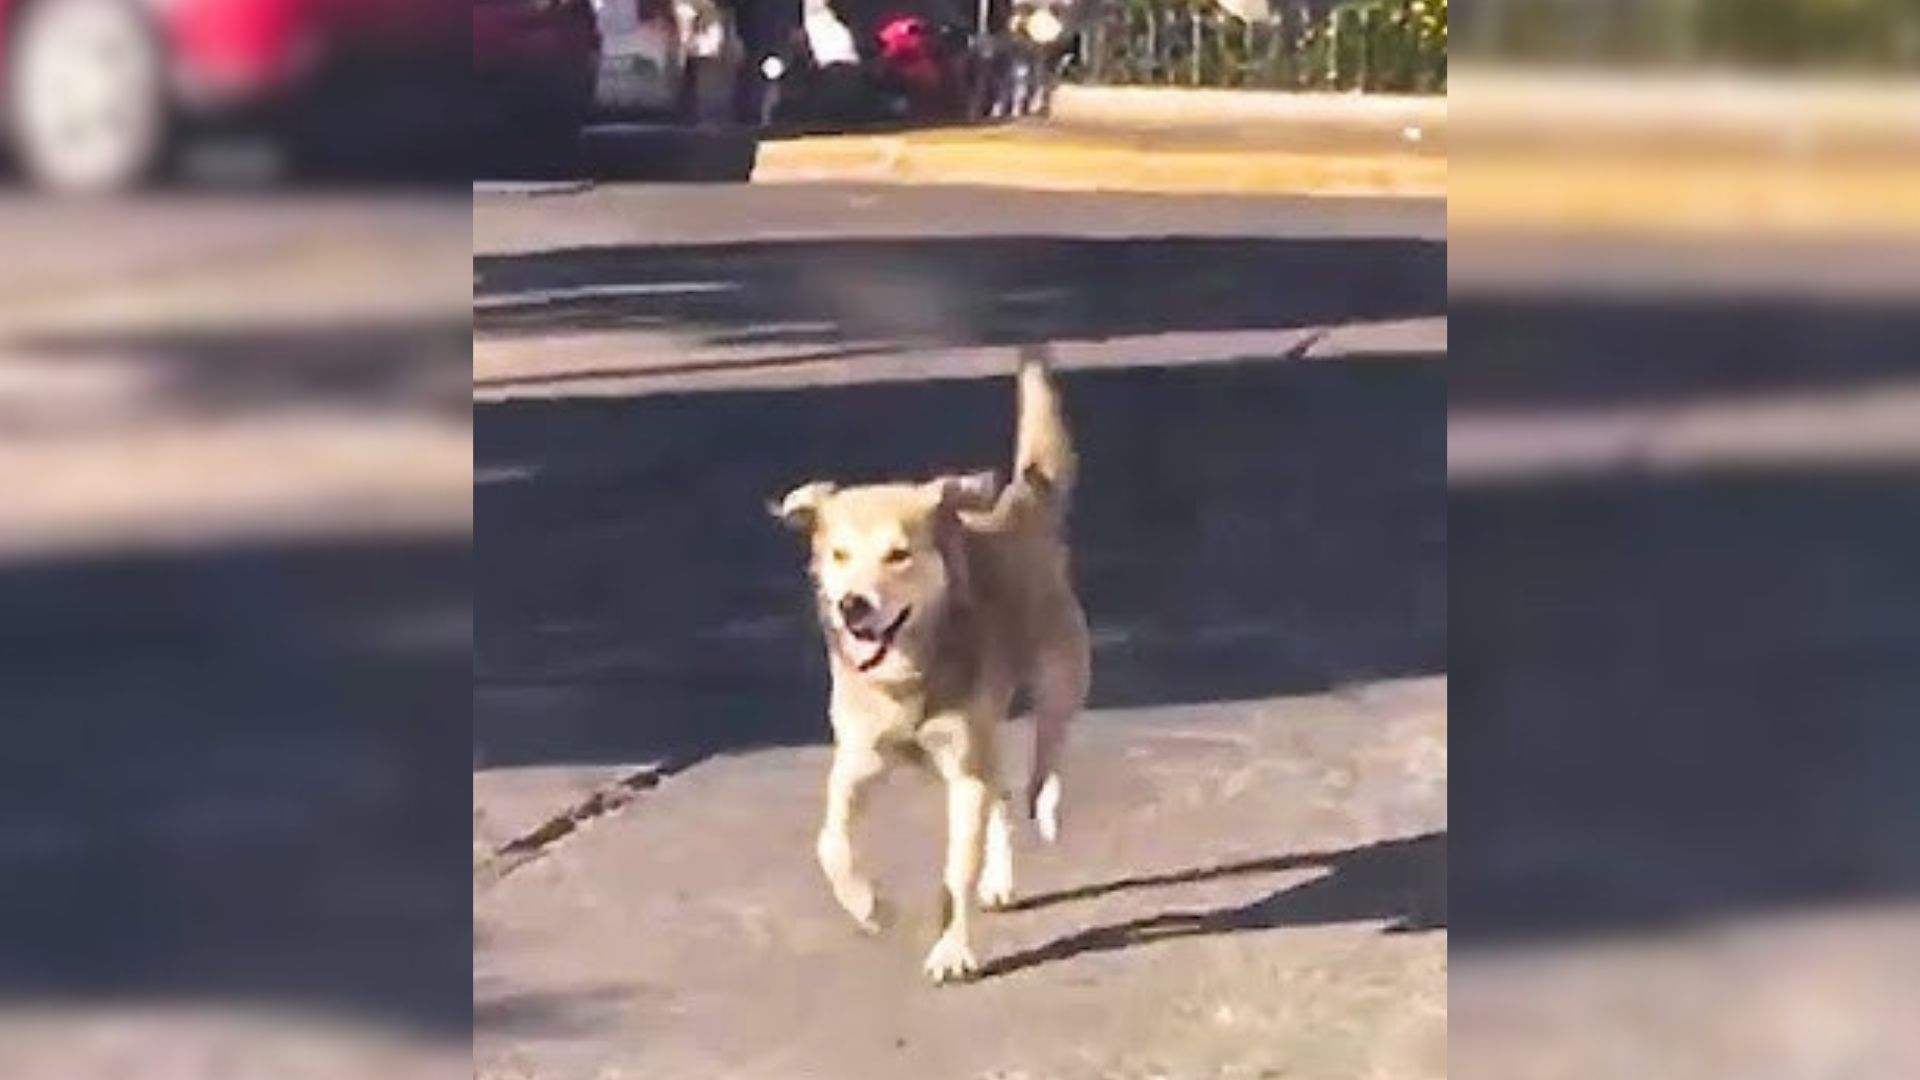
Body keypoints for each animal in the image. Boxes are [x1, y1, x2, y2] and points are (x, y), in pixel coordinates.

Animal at [768, 349, 1098, 980]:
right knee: (1001, 794)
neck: (908, 674)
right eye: (839, 554)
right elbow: (831, 845)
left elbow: (955, 870)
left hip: (1061, 675)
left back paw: (1044, 802)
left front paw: (951, 948)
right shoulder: (859, 760)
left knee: (1044, 758)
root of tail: (1019, 509)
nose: (852, 606)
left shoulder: (963, 769)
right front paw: (870, 907)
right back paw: (997, 876)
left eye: (898, 554)